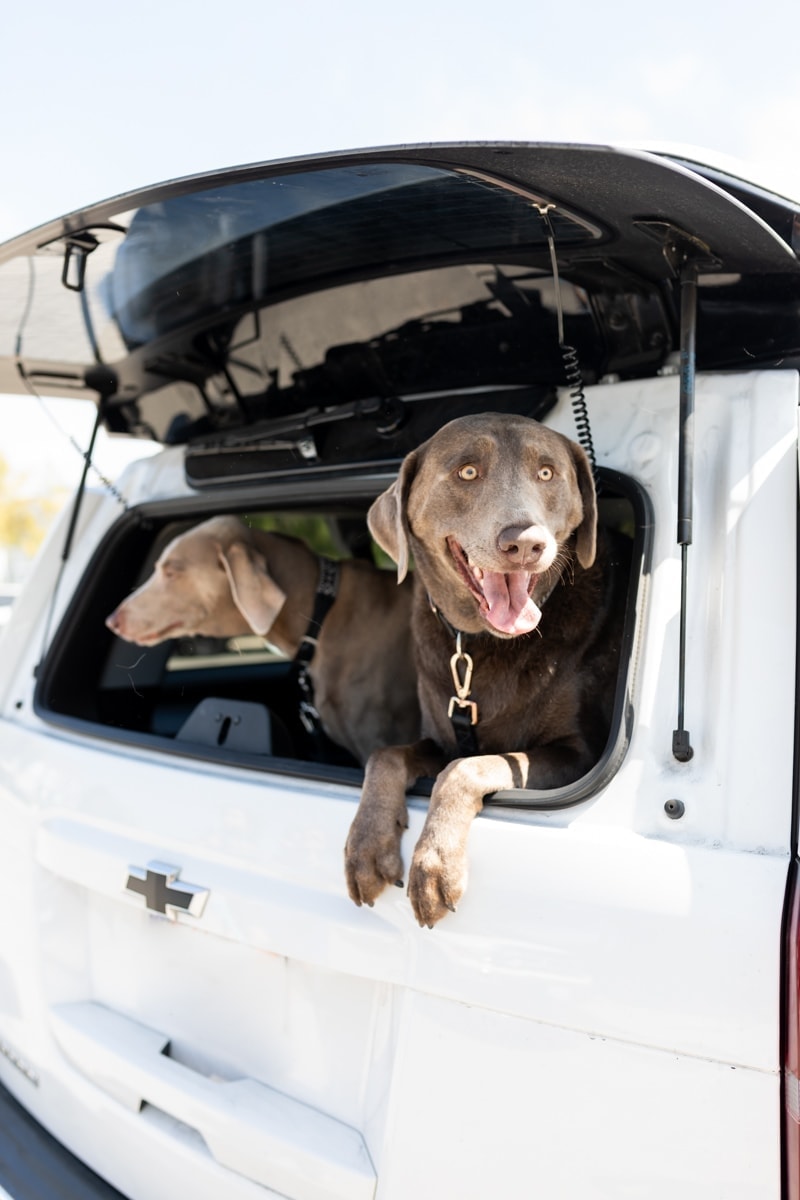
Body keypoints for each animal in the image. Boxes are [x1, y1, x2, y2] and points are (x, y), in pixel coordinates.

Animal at [345, 412, 633, 926]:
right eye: (467, 472)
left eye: (547, 473)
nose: (526, 543)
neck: (481, 643)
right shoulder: (439, 735)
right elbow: (387, 755)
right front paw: (367, 844)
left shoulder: (577, 753)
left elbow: (467, 766)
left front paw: (435, 863)